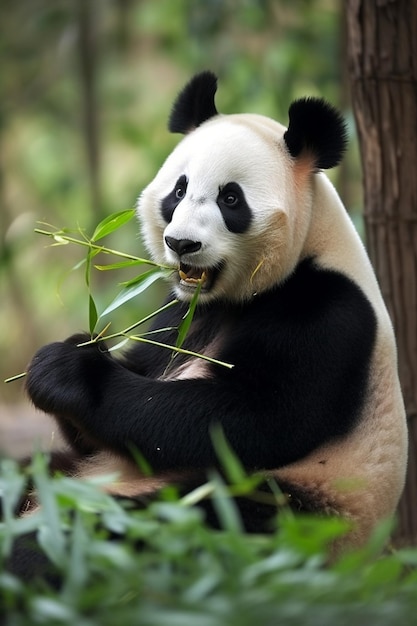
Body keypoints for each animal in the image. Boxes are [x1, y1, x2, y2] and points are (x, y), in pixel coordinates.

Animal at [20, 73, 406, 548]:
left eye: (231, 199)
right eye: (179, 190)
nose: (181, 243)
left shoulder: (329, 313)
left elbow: (243, 420)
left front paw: (68, 369)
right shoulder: (181, 315)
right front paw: (79, 345)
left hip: (282, 504)